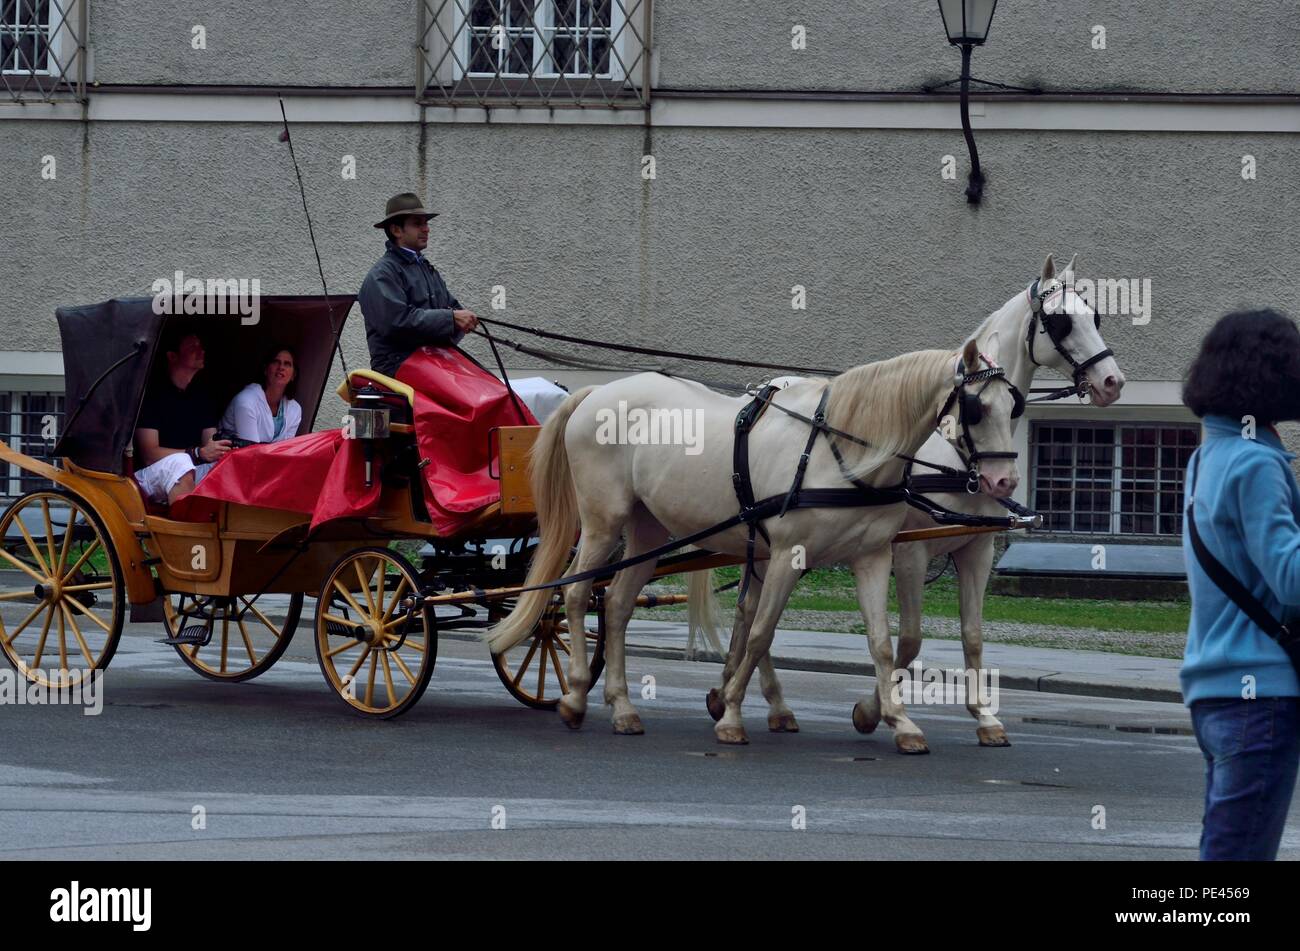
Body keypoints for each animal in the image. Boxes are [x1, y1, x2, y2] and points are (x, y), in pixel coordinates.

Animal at [486, 336, 1021, 753]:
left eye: (1013, 405)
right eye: (977, 408)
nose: (1004, 481)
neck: (843, 453)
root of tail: (598, 391)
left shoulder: (872, 555)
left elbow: (883, 643)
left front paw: (898, 721)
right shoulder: (789, 553)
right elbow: (761, 631)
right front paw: (730, 715)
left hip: (648, 528)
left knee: (616, 604)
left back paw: (622, 708)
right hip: (602, 523)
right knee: (576, 596)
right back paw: (575, 695)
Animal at [695, 253, 1126, 748]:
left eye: (1094, 315)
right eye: (1060, 321)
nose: (1112, 382)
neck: (957, 453)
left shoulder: (976, 547)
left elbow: (972, 634)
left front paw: (984, 716)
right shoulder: (910, 551)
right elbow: (910, 639)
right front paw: (872, 711)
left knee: (750, 612)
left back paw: (736, 693)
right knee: (755, 614)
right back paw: (756, 698)